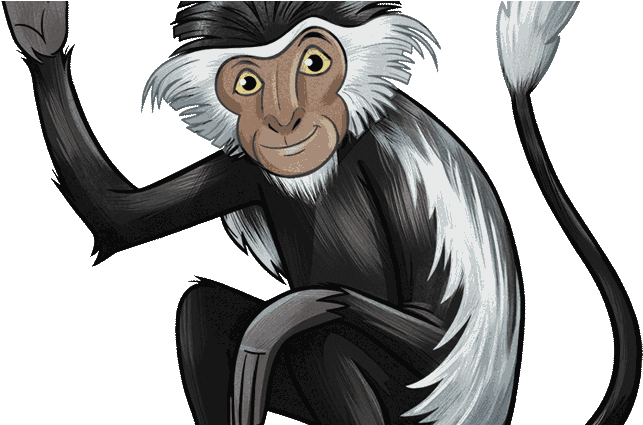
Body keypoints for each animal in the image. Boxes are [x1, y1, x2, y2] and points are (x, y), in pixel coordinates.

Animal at [4, 1, 639, 425]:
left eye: (313, 63)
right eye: (248, 82)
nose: (284, 121)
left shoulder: (380, 158)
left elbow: (415, 325)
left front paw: (281, 318)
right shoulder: (248, 165)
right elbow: (118, 218)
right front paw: (40, 30)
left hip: (420, 405)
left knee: (325, 341)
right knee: (201, 310)